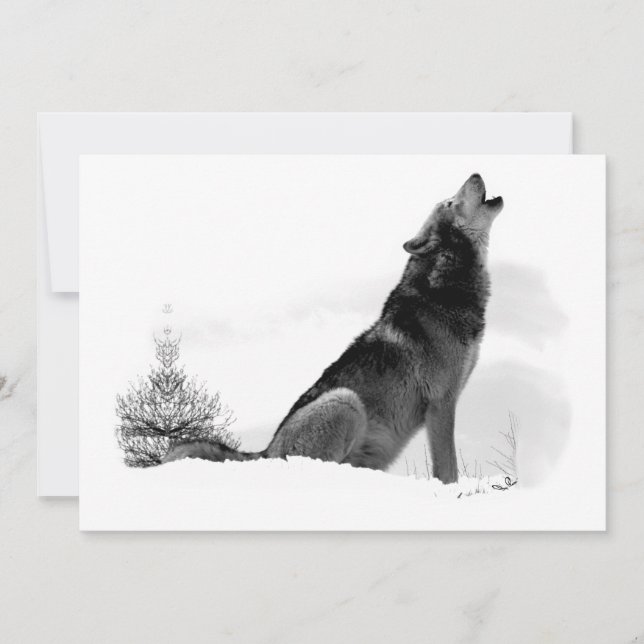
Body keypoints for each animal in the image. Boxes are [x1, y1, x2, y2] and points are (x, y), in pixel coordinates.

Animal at [163, 173, 503, 484]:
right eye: (450, 202)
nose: (475, 173)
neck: (444, 287)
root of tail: (266, 452)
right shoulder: (441, 403)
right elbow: (448, 469)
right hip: (345, 401)